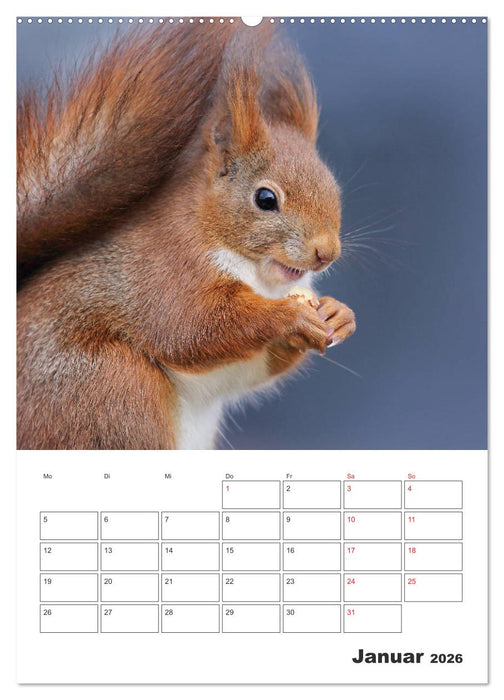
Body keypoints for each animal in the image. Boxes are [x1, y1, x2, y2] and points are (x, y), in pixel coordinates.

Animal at [17, 22, 356, 449]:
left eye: (334, 188)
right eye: (265, 199)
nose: (326, 253)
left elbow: (260, 365)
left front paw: (339, 314)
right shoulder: (168, 270)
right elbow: (191, 327)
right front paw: (290, 316)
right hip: (111, 387)